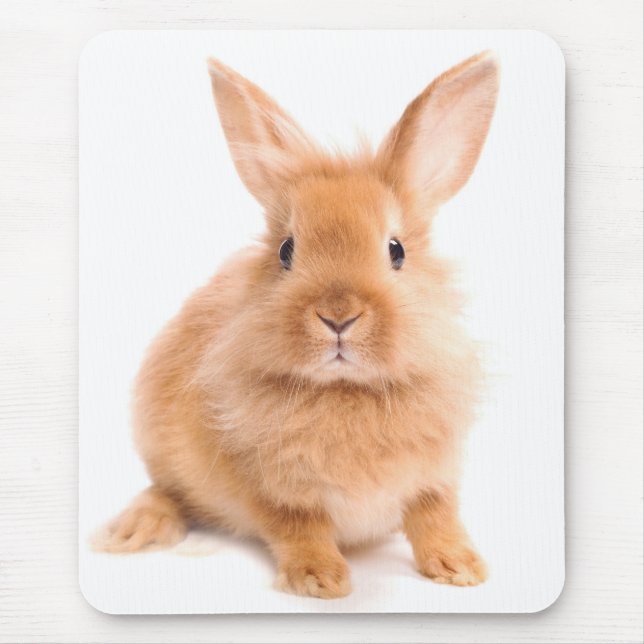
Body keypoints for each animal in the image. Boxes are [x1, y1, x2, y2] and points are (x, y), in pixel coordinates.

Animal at [97, 51, 499, 599]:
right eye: (287, 251)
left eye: (396, 250)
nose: (338, 315)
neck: (345, 392)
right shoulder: (271, 490)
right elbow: (298, 527)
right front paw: (320, 580)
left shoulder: (435, 477)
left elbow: (435, 517)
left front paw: (461, 568)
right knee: (167, 491)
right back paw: (134, 529)